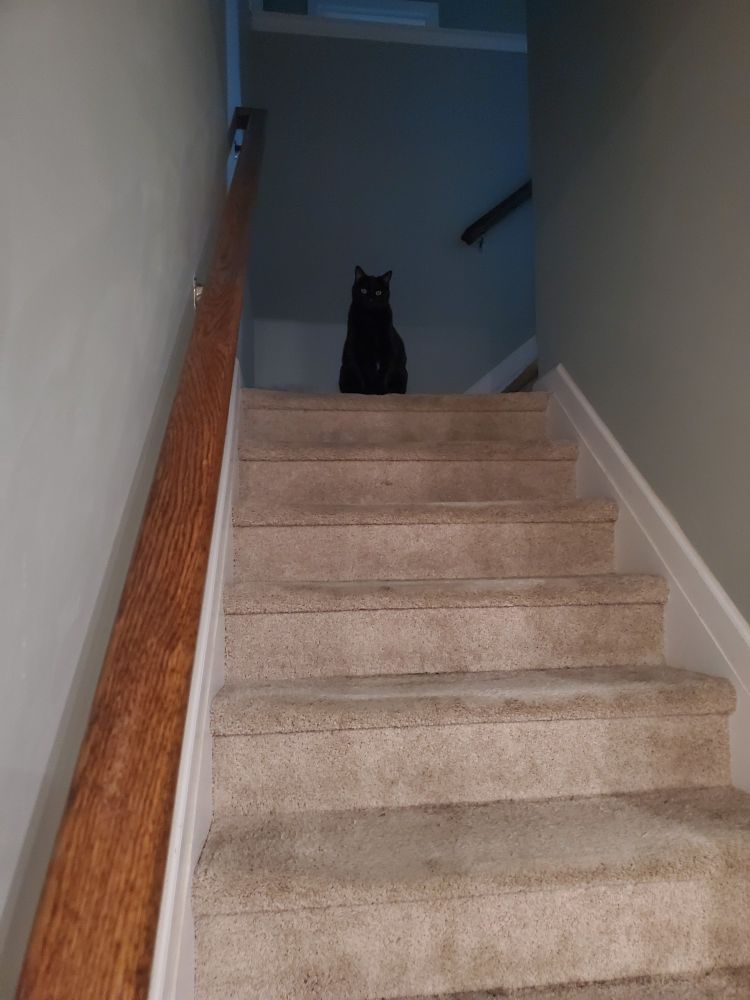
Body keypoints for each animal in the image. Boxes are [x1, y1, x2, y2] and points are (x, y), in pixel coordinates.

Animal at [339, 266, 408, 394]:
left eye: (378, 292)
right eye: (363, 290)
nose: (370, 299)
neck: (370, 319)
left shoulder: (388, 347)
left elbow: (383, 371)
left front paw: (379, 391)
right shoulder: (359, 348)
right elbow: (367, 372)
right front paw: (369, 391)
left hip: (402, 372)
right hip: (344, 369)